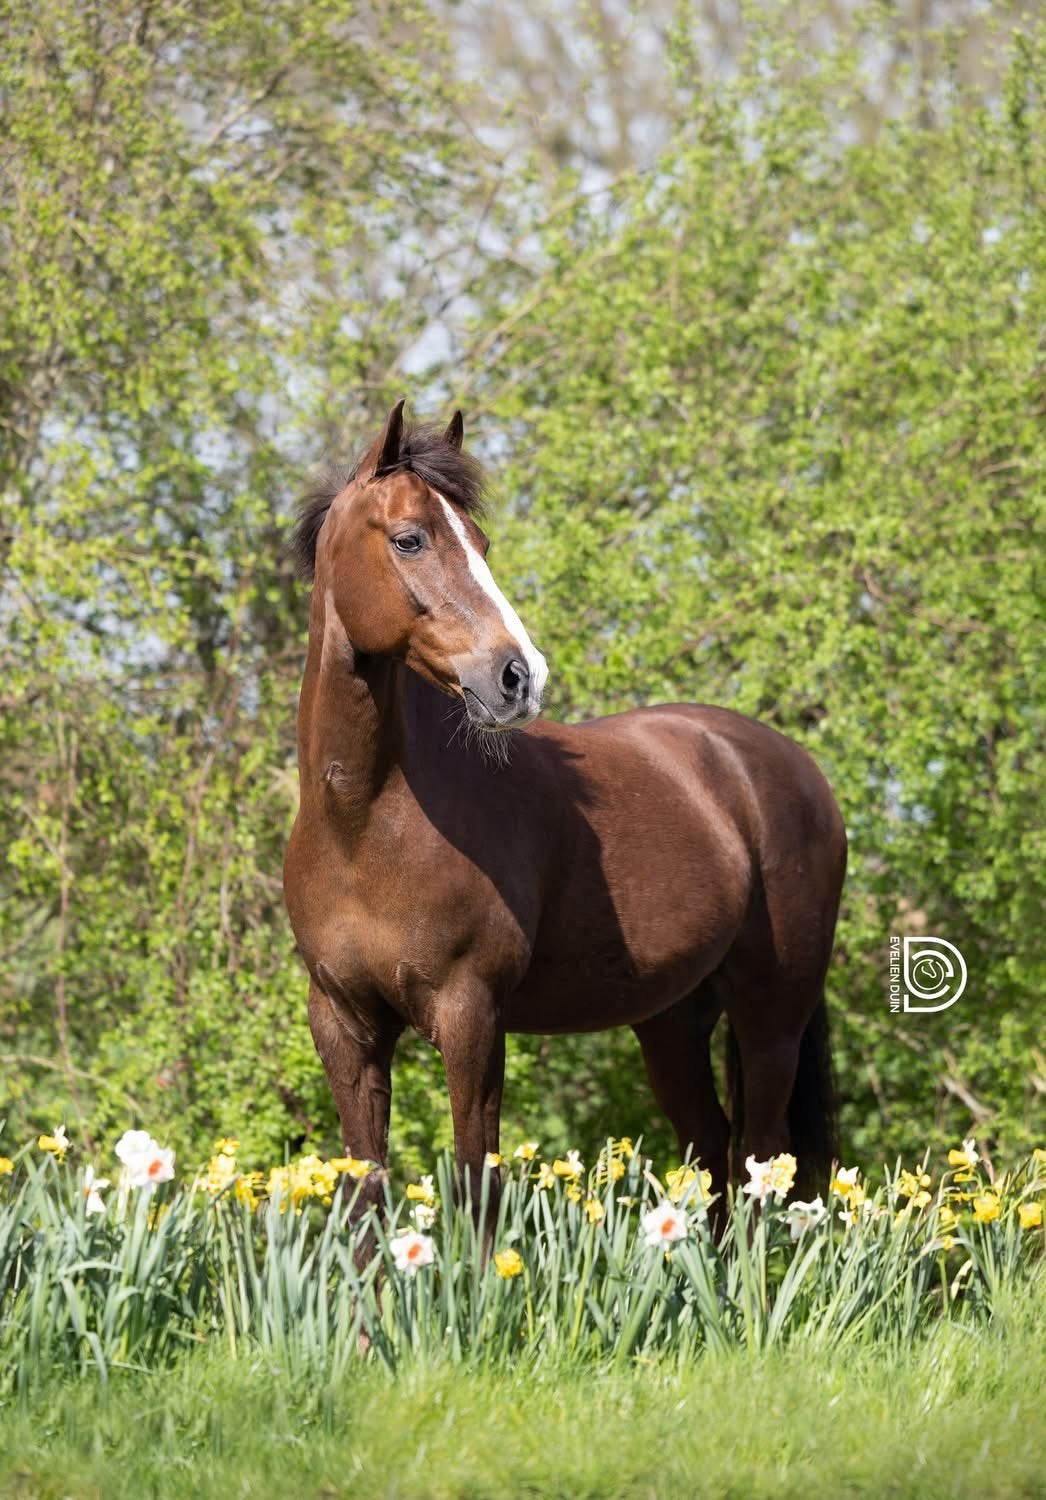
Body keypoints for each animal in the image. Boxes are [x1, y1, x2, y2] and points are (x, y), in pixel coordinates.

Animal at [283, 399, 847, 1223]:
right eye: (410, 538)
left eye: (481, 542)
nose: (519, 676)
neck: (365, 824)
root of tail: (789, 767)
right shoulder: (344, 1025)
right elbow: (364, 1192)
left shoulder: (472, 1016)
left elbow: (476, 1183)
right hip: (672, 1020)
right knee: (710, 1145)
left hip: (772, 1013)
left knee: (759, 1157)